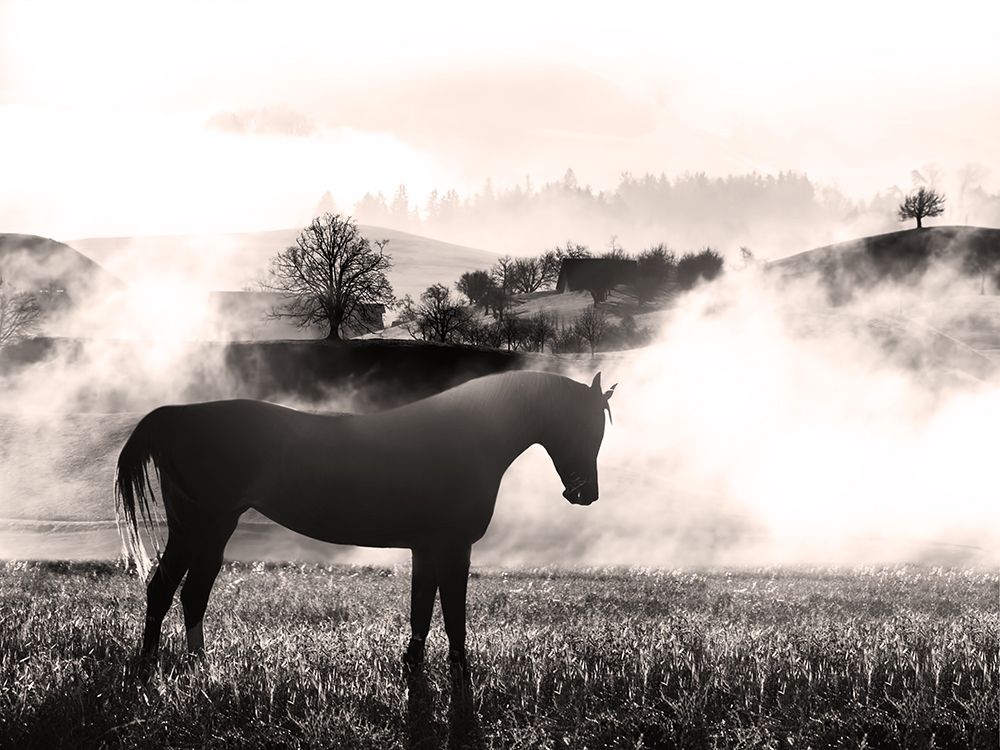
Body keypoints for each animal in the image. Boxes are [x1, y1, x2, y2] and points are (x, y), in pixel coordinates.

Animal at [115, 370, 616, 668]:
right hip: (202, 528)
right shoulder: (453, 546)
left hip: (205, 531)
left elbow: (422, 607)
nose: (586, 495)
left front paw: (413, 665)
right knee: (173, 590)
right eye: (584, 425)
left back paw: (185, 666)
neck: (466, 436)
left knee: (182, 591)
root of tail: (175, 416)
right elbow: (452, 613)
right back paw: (160, 667)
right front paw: (459, 669)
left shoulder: (426, 547)